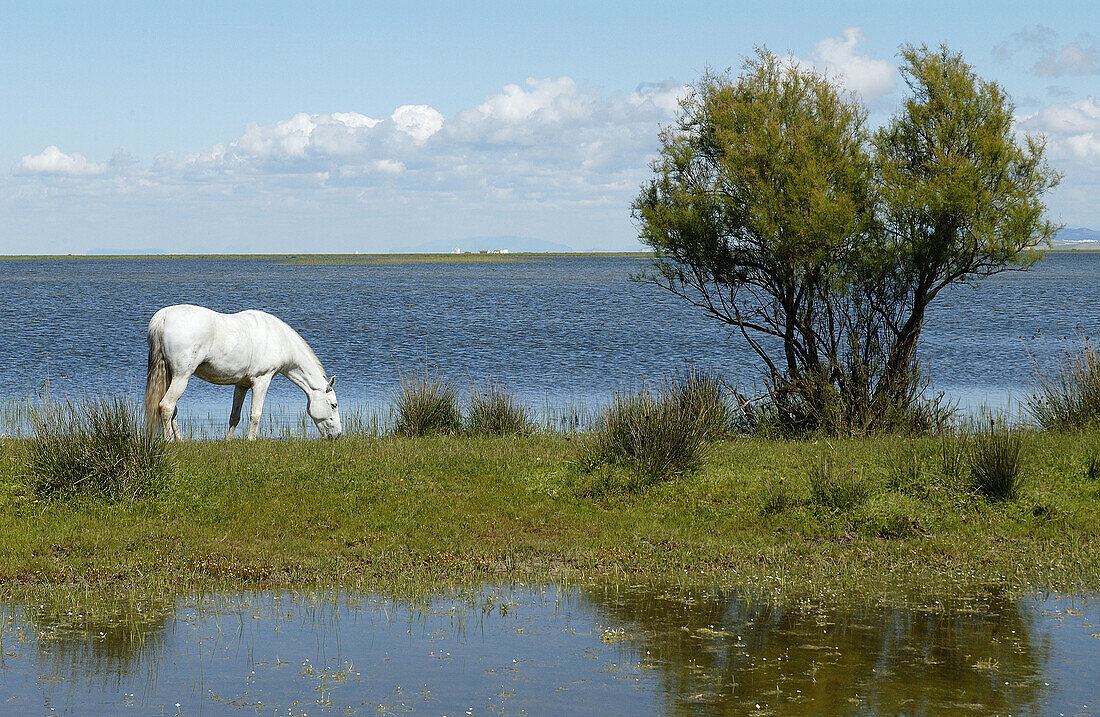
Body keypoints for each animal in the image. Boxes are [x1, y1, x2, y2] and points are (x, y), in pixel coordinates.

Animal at [144, 303, 338, 439]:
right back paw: (169, 441)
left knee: (172, 410)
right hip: (181, 377)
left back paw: (180, 440)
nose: (337, 435)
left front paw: (228, 441)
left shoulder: (241, 385)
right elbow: (255, 414)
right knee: (166, 406)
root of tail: (163, 317)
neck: (279, 340)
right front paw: (251, 440)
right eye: (334, 405)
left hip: (170, 376)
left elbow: (234, 416)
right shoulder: (262, 381)